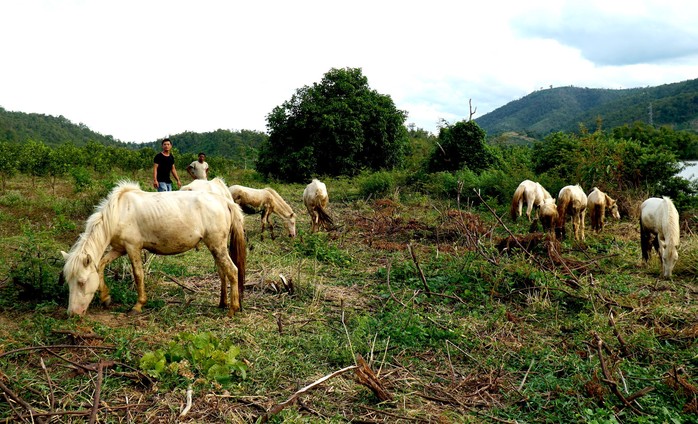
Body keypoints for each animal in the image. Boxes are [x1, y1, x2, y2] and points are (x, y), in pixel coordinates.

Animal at [59, 181, 246, 316]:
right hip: (216, 247)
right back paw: (222, 304)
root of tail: (225, 201)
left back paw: (232, 309)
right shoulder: (119, 249)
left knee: (232, 271)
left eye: (82, 282)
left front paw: (138, 305)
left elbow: (138, 275)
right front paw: (106, 297)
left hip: (217, 246)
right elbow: (102, 265)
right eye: (68, 281)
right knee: (223, 272)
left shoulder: (132, 247)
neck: (118, 212)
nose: (72, 314)